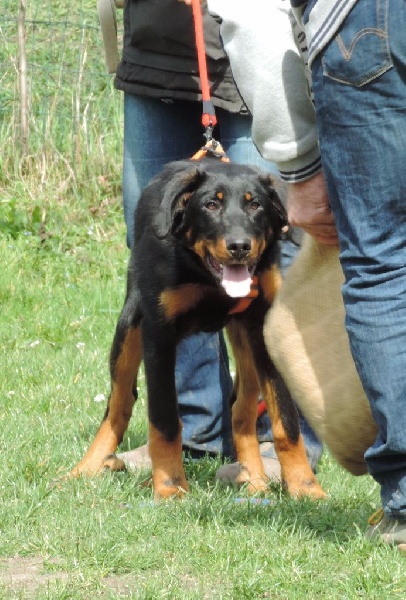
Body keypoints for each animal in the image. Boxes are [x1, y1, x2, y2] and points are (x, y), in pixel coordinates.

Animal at [70, 157, 326, 500]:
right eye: (210, 205)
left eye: (255, 204)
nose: (239, 247)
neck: (205, 275)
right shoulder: (159, 334)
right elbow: (165, 420)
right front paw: (170, 487)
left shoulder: (264, 327)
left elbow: (286, 422)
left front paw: (305, 487)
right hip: (129, 323)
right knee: (119, 403)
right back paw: (84, 469)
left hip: (246, 340)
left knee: (241, 408)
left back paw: (255, 481)